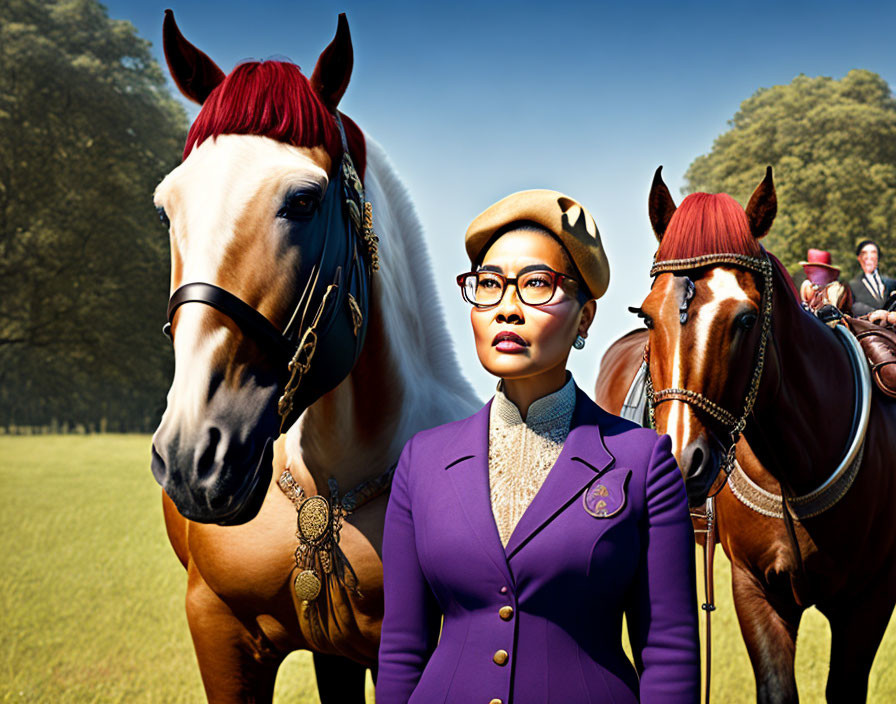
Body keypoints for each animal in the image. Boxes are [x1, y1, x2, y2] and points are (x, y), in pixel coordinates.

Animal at [596, 168, 896, 700]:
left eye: (747, 318)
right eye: (648, 315)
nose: (680, 461)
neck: (796, 467)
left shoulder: (870, 596)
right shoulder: (754, 588)